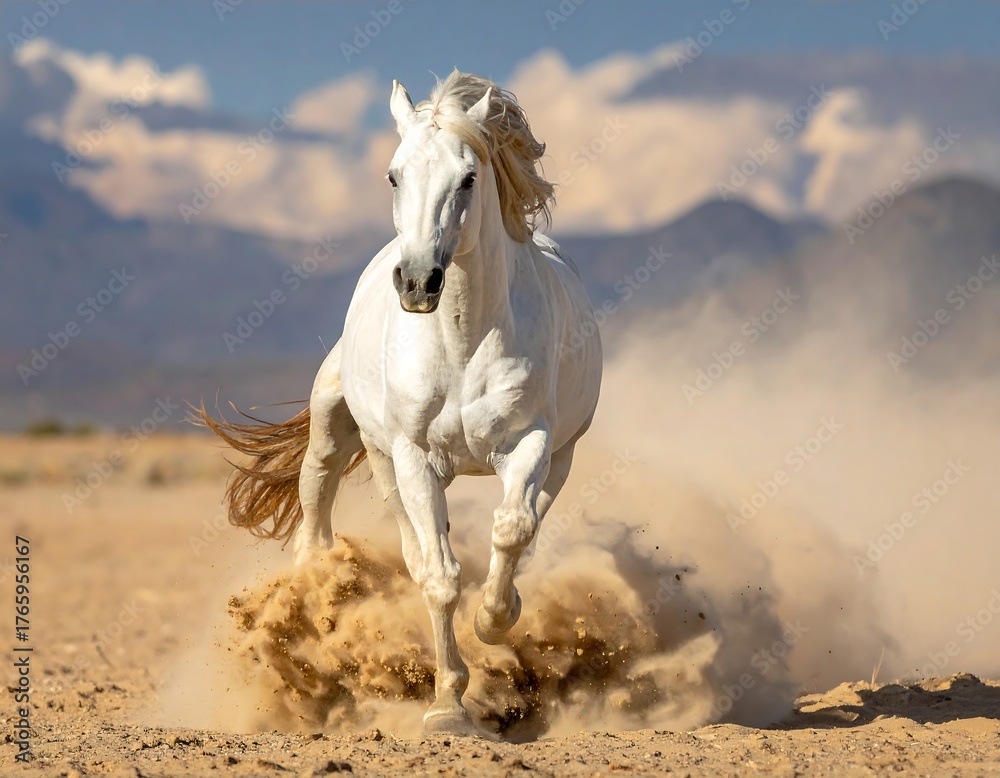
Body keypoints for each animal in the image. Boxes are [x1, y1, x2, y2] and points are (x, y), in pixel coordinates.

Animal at [198, 71, 603, 735]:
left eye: (469, 177)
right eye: (393, 174)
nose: (417, 282)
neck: (462, 342)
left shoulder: (532, 442)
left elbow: (512, 529)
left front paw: (496, 619)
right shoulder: (414, 455)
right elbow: (438, 577)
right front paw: (446, 706)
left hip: (559, 457)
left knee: (525, 520)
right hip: (348, 441)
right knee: (324, 519)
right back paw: (311, 609)